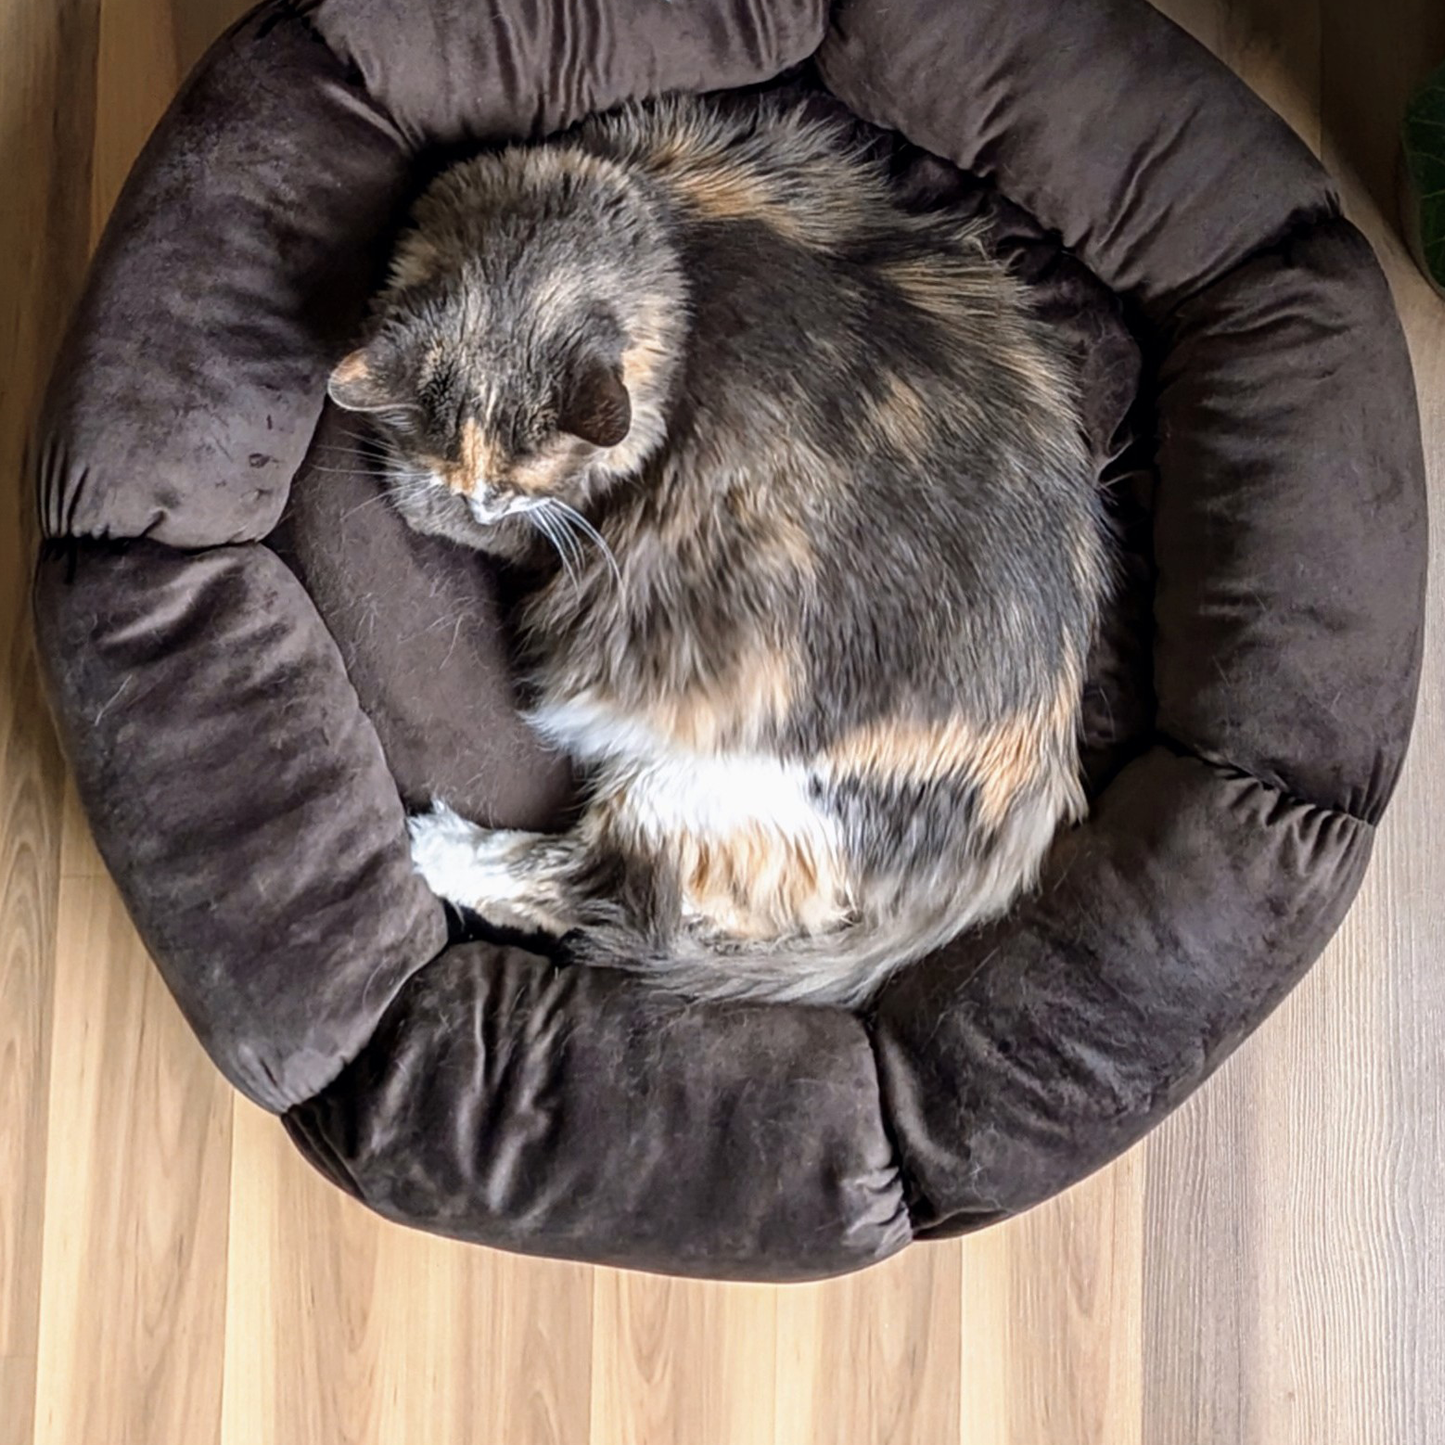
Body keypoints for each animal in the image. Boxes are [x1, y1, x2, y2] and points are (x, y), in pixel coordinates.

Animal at [328, 93, 1103, 1005]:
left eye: (526, 482)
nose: (482, 497)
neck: (673, 254)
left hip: (696, 789)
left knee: (600, 889)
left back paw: (435, 844)